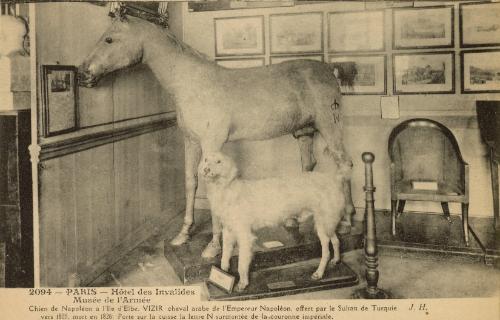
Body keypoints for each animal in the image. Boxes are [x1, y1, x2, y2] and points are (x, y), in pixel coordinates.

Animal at [78, 12, 356, 258]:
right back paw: (293, 221)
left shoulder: (212, 144)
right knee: (308, 165)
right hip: (304, 132)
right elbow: (190, 182)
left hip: (330, 127)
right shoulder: (191, 142)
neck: (193, 84)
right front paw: (183, 234)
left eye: (109, 39)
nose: (83, 73)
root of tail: (329, 70)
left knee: (345, 164)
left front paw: (213, 246)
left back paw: (346, 222)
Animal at [201, 151, 346, 292]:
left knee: (326, 251)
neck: (227, 190)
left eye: (219, 161)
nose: (206, 169)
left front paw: (242, 284)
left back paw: (319, 273)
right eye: (206, 159)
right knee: (336, 241)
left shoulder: (245, 236)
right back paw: (336, 260)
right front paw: (222, 274)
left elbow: (242, 264)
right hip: (328, 224)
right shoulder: (228, 231)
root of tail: (335, 180)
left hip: (322, 224)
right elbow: (225, 255)